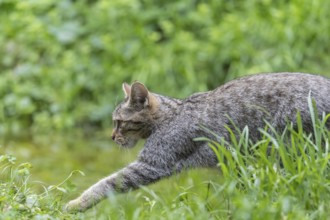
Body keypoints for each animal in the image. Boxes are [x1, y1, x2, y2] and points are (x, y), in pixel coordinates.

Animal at [65, 72, 330, 211]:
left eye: (119, 122)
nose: (112, 136)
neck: (171, 115)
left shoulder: (153, 164)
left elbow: (106, 183)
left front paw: (77, 203)